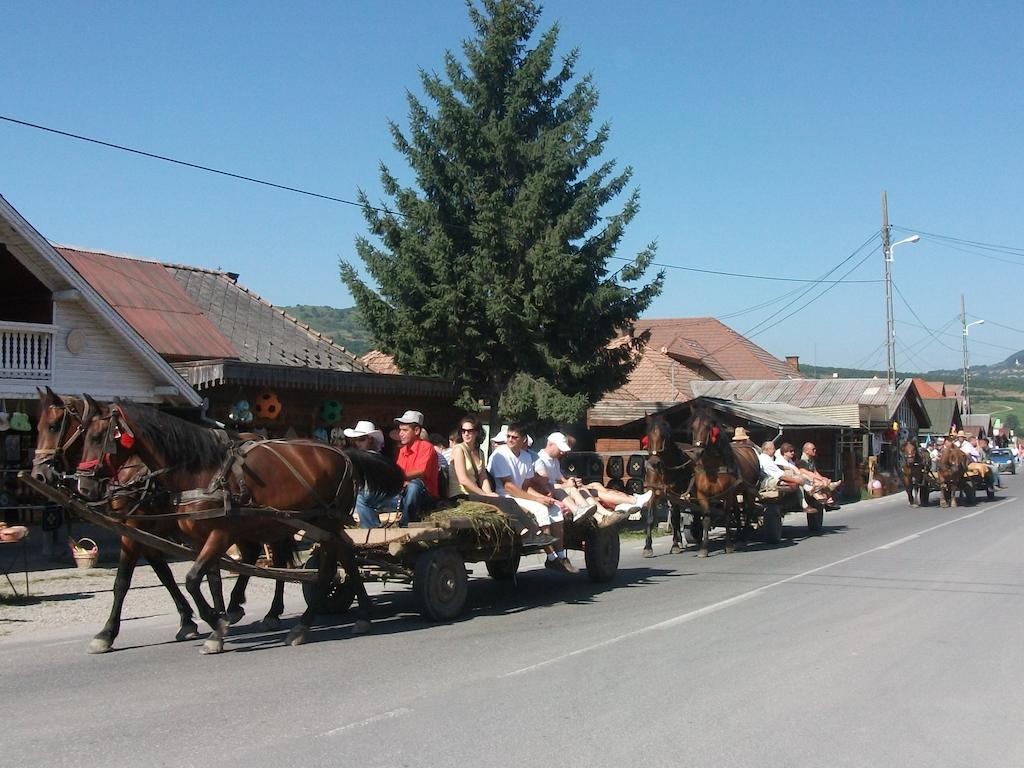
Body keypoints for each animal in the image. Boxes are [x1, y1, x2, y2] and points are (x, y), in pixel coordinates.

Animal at [75, 397, 401, 655]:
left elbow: (192, 579)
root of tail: (343, 453)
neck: (202, 470)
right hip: (308, 523)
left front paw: (216, 625)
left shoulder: (221, 532)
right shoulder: (195, 536)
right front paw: (217, 619)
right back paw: (360, 615)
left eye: (99, 436)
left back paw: (303, 625)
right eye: (82, 435)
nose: (85, 485)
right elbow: (202, 578)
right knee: (343, 556)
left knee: (327, 567)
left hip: (324, 521)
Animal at [643, 417, 692, 557]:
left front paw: (674, 545)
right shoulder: (651, 491)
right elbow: (650, 518)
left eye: (664, 436)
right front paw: (647, 547)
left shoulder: (674, 493)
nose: (654, 462)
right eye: (648, 435)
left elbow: (675, 519)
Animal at [688, 409, 761, 561]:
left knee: (748, 510)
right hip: (736, 493)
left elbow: (727, 515)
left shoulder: (727, 494)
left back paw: (744, 536)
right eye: (692, 427)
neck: (713, 469)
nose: (697, 452)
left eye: (708, 427)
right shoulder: (703, 495)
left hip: (749, 491)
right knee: (738, 512)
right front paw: (704, 548)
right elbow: (707, 518)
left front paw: (728, 545)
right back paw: (739, 535)